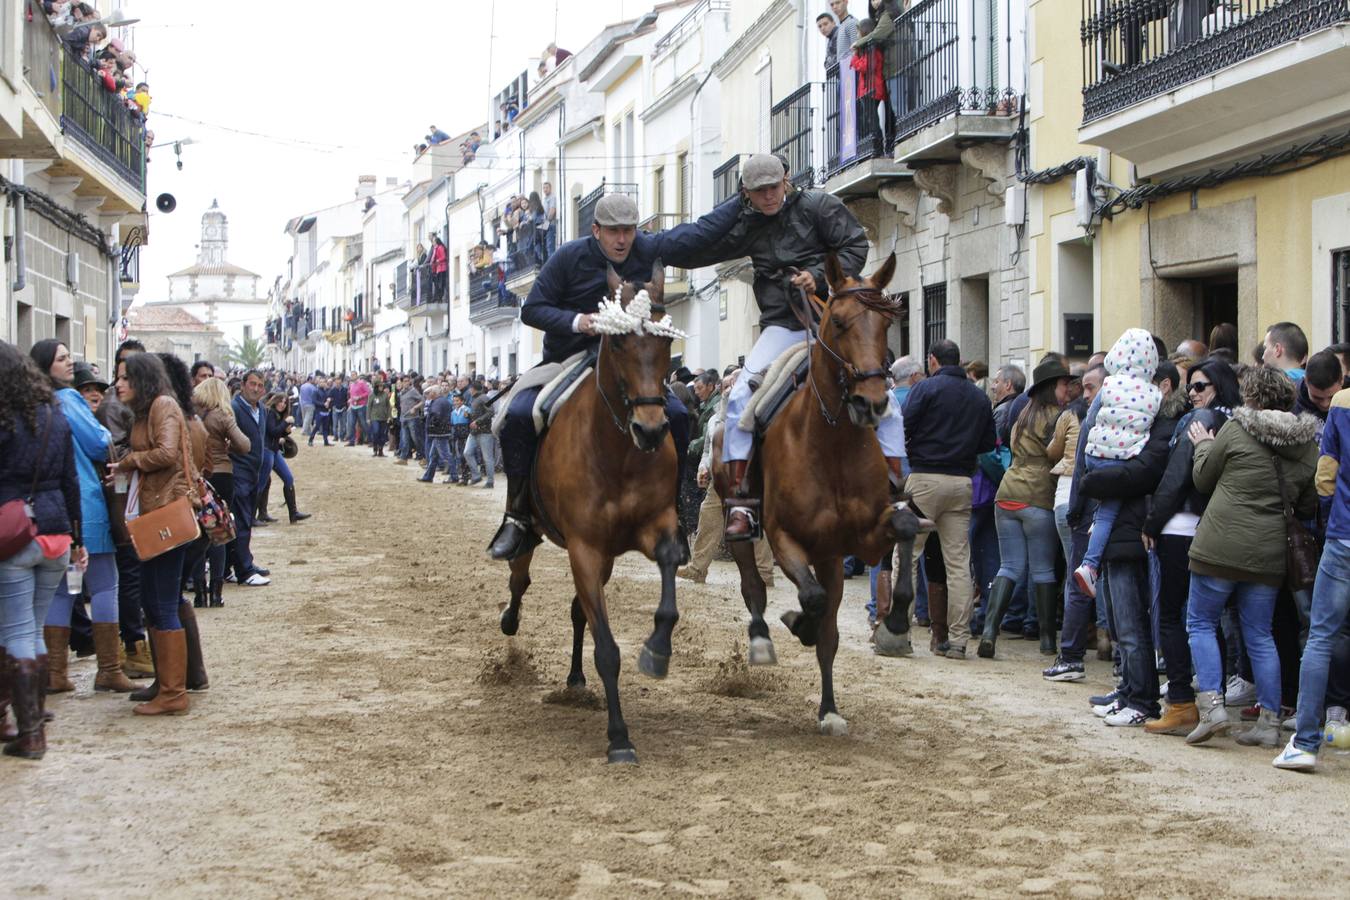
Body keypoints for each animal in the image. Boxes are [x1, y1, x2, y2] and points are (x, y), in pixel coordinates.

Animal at [499, 261, 685, 766]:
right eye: (618, 343)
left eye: (665, 342)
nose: (651, 430)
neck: (618, 450)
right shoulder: (584, 547)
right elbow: (608, 650)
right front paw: (619, 737)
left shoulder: (655, 527)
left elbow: (667, 571)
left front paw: (657, 650)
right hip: (543, 535)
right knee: (520, 579)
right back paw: (509, 618)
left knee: (578, 609)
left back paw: (575, 678)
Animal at [707, 249, 928, 734]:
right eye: (840, 322)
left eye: (886, 323)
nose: (872, 402)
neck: (832, 444)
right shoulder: (785, 537)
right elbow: (811, 600)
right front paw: (798, 622)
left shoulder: (860, 538)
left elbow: (903, 528)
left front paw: (894, 621)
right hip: (742, 524)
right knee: (753, 587)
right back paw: (762, 641)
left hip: (829, 554)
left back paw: (828, 705)